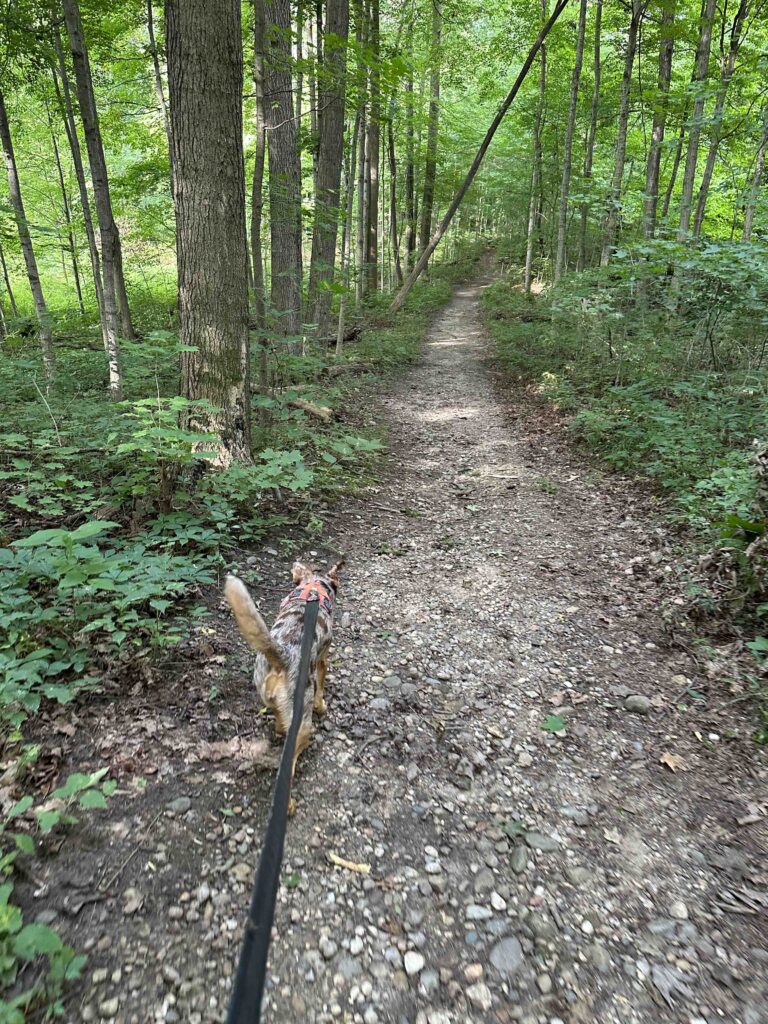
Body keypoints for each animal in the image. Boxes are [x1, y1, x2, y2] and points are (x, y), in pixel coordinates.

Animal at [222, 561, 342, 798]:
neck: (313, 588)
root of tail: (283, 656)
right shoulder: (323, 660)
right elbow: (321, 689)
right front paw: (322, 706)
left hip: (270, 697)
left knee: (279, 721)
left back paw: (279, 729)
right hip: (303, 726)